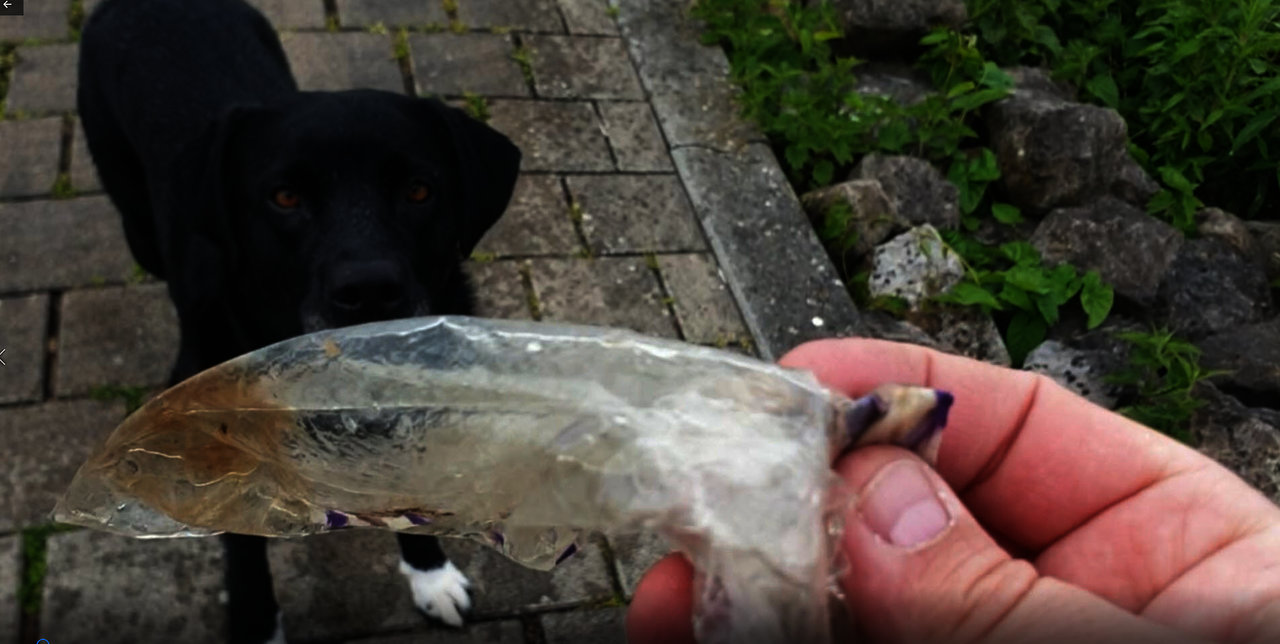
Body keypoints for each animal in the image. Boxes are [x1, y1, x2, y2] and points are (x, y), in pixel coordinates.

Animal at [81, 1, 519, 640]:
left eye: (419, 191)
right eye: (284, 197)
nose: (370, 291)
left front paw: (429, 574)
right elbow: (243, 553)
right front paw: (257, 623)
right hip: (135, 220)